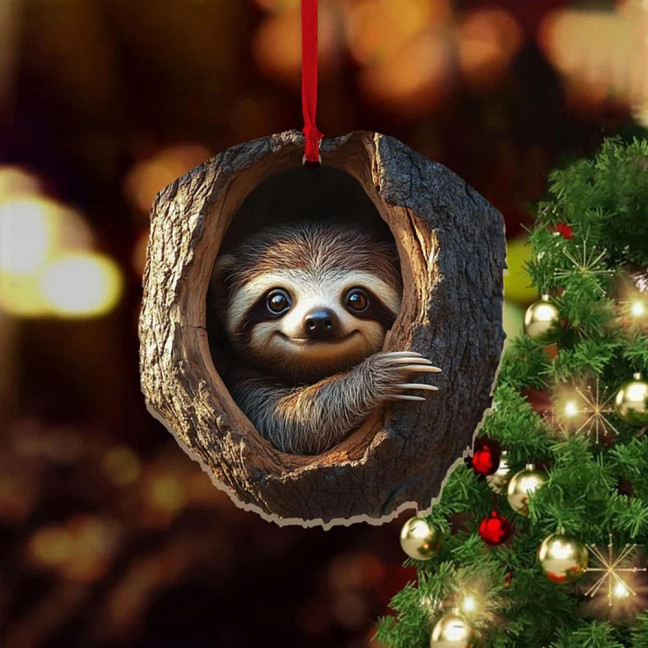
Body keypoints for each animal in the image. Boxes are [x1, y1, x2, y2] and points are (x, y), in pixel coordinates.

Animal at [212, 220, 440, 455]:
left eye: (357, 299)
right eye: (277, 301)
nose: (319, 319)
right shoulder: (244, 383)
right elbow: (286, 422)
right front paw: (382, 373)